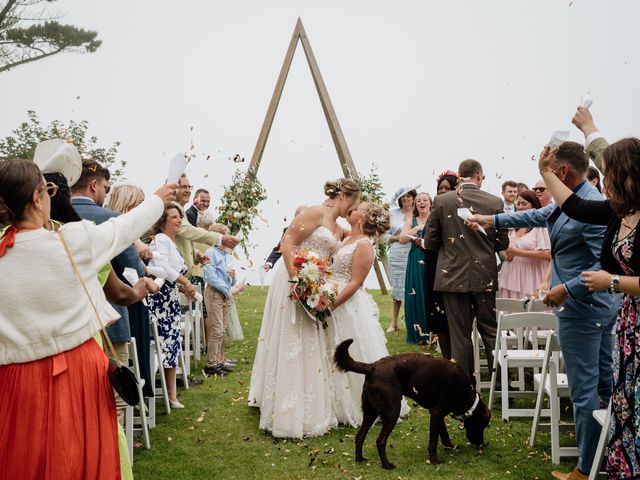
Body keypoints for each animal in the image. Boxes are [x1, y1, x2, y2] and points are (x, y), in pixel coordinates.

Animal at [336, 340, 490, 470]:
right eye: (482, 425)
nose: (481, 443)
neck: (467, 396)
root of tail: (372, 367)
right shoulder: (437, 412)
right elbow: (433, 441)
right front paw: (434, 461)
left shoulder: (435, 413)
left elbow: (443, 434)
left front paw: (450, 446)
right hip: (392, 412)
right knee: (380, 441)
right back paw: (387, 465)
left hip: (370, 412)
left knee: (359, 436)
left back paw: (360, 459)